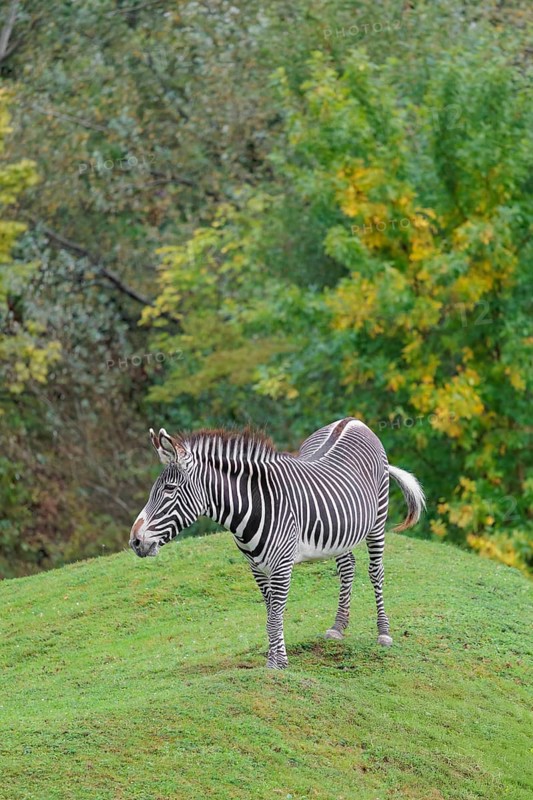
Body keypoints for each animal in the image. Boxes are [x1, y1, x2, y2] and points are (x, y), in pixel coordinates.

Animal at [130, 417, 425, 669]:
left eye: (169, 489)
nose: (135, 541)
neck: (255, 506)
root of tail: (353, 420)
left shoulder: (282, 564)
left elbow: (276, 614)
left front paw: (277, 665)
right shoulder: (257, 567)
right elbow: (271, 612)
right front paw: (275, 658)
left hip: (377, 519)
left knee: (376, 572)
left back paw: (383, 632)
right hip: (342, 532)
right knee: (348, 567)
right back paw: (338, 626)